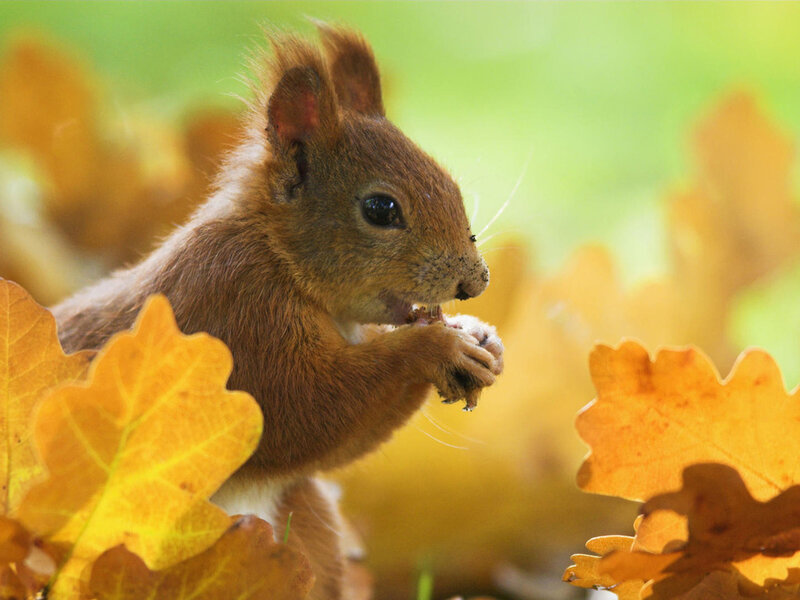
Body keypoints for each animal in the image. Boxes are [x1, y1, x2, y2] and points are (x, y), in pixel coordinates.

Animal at [53, 25, 504, 600]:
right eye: (381, 209)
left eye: (449, 184)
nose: (474, 283)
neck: (277, 255)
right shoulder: (235, 312)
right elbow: (296, 410)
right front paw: (437, 347)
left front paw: (482, 338)